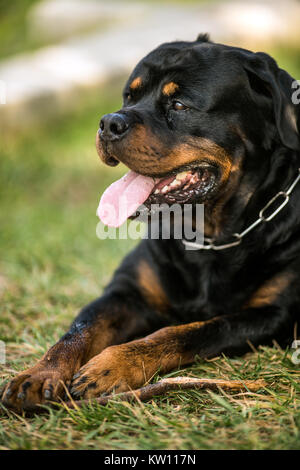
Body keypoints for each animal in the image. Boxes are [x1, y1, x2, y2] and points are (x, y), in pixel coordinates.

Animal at [1, 34, 298, 412]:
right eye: (129, 96)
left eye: (180, 105)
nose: (109, 122)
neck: (209, 236)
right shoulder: (126, 293)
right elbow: (80, 328)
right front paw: (39, 373)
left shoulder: (271, 314)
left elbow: (185, 332)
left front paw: (113, 365)